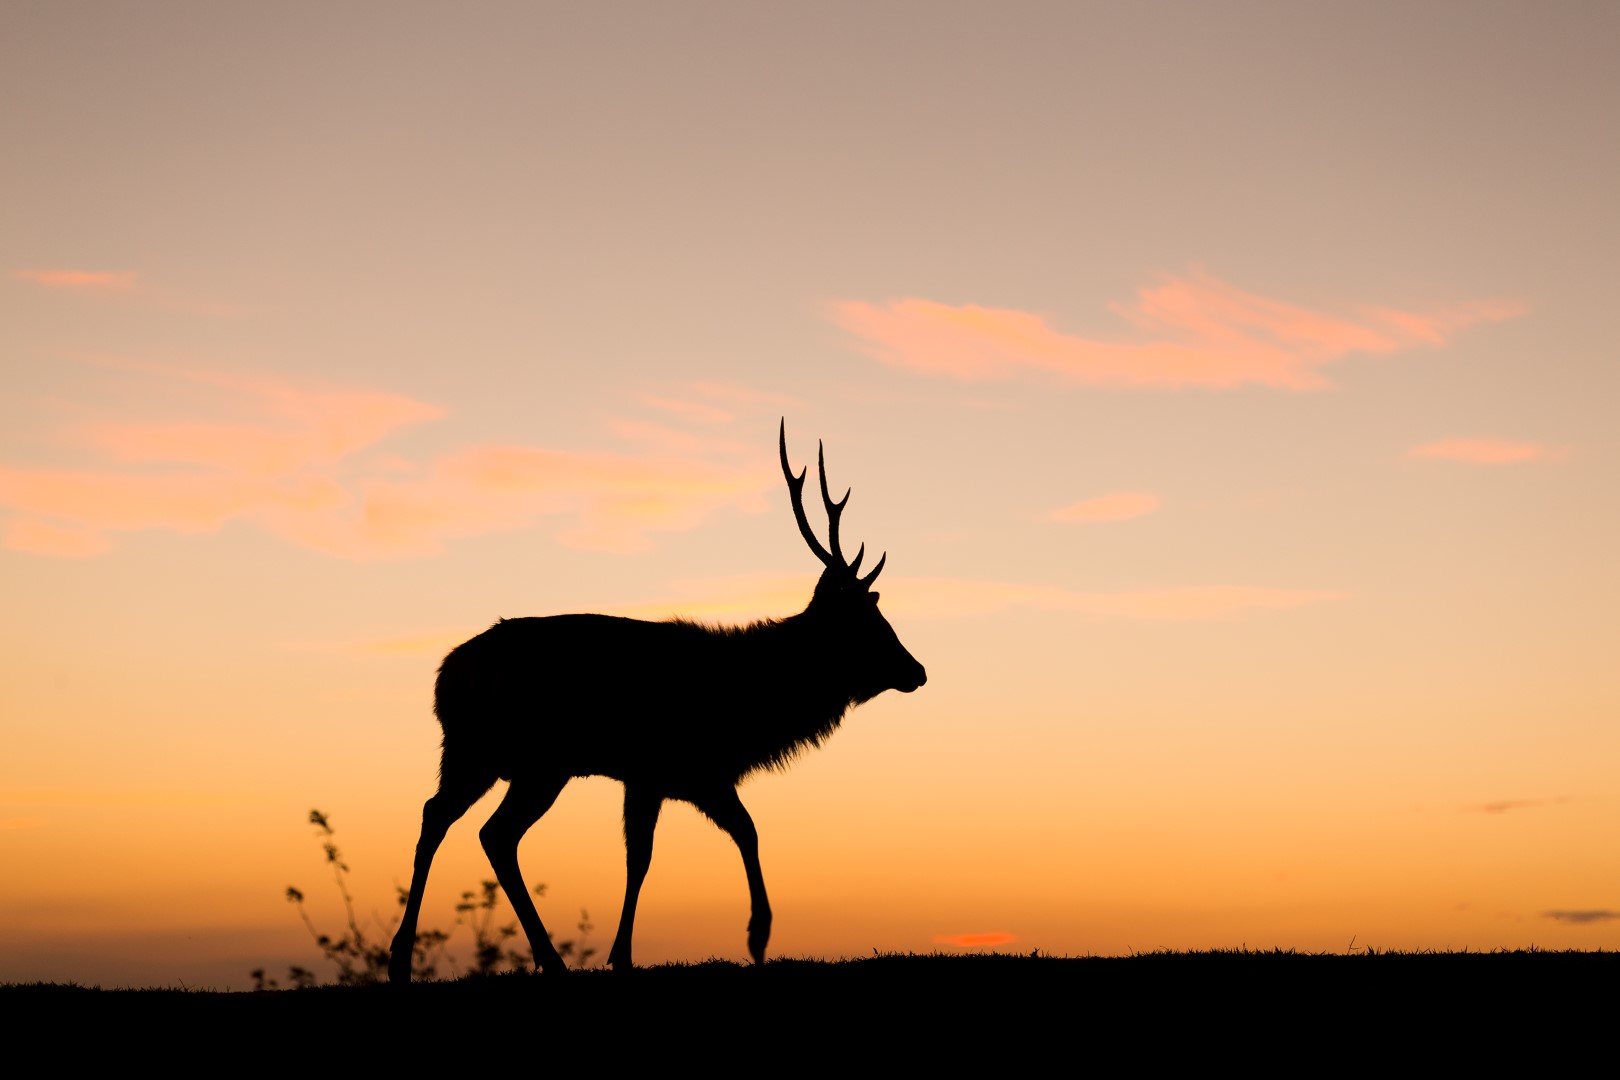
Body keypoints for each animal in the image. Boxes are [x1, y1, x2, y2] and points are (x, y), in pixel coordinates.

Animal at [387, 420, 927, 982]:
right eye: (867, 624)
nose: (918, 671)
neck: (753, 704)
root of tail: (447, 676)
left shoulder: (663, 777)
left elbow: (646, 855)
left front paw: (623, 954)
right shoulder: (684, 769)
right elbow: (732, 835)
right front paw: (755, 936)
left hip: (477, 755)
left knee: (450, 820)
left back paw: (419, 959)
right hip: (530, 760)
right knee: (489, 831)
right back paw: (526, 958)